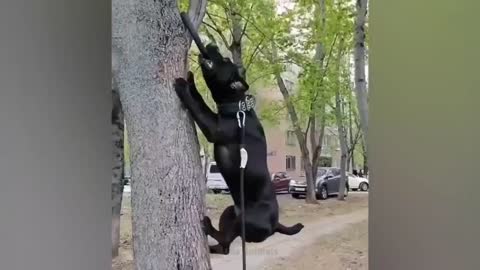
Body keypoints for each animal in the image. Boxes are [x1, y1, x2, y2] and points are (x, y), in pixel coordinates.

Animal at [175, 43, 304, 254]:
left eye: (225, 60)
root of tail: (275, 225)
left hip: (244, 219)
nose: (212, 44)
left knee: (226, 240)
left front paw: (183, 86)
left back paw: (207, 227)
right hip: (229, 212)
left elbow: (200, 104)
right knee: (226, 245)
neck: (237, 106)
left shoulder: (213, 127)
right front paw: (190, 80)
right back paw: (212, 245)